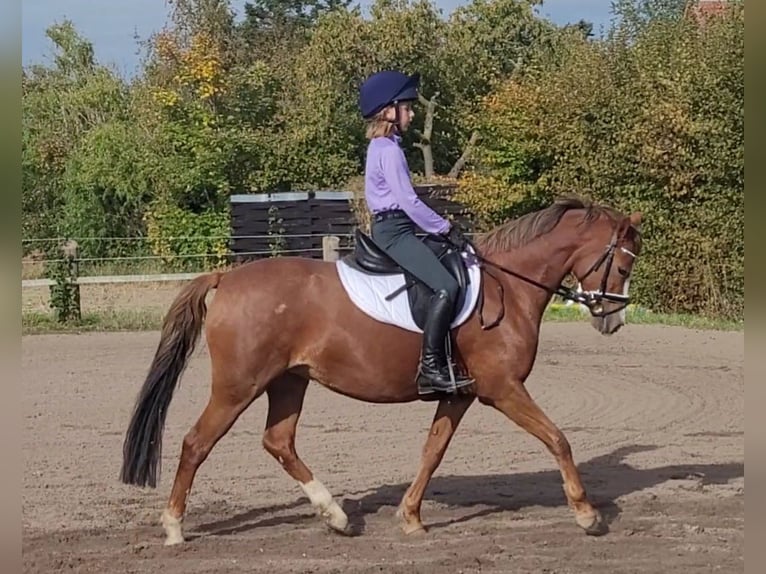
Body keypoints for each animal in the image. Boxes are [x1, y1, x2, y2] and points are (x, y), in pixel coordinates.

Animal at [120, 196, 644, 548]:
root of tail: (227, 277)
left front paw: (410, 516)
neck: (508, 288)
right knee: (197, 443)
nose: (612, 320)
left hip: (288, 381)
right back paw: (174, 527)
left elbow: (433, 451)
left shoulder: (460, 393)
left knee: (279, 441)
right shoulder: (503, 389)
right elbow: (558, 439)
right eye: (621, 266)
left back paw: (335, 515)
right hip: (238, 385)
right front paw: (587, 515)